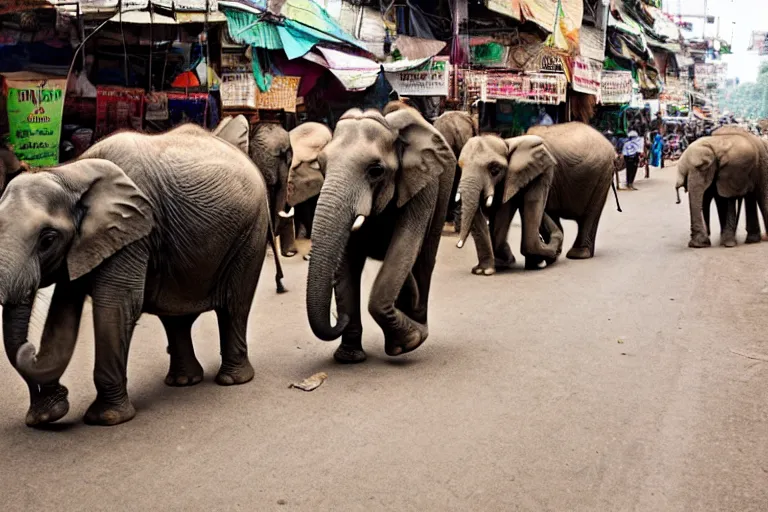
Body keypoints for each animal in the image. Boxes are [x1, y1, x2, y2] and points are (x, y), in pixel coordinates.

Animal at [306, 106, 456, 364]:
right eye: (321, 164)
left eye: (375, 170)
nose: (339, 317)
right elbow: (347, 258)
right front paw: (349, 358)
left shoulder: (423, 185)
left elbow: (405, 244)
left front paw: (410, 342)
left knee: (424, 259)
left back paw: (419, 327)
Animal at [456, 122, 616, 276]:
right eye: (460, 166)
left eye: (494, 169)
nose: (458, 245)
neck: (508, 142)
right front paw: (496, 266)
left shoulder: (542, 171)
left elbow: (516, 208)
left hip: (603, 173)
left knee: (590, 215)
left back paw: (576, 254)